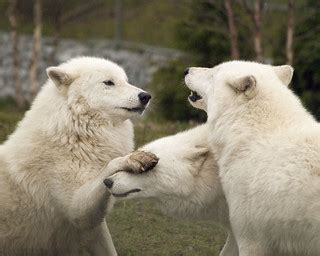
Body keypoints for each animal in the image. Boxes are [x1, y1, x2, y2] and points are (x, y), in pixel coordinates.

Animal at [0, 57, 152, 255]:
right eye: (109, 82)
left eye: (125, 80)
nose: (146, 96)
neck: (74, 137)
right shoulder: (76, 211)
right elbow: (109, 167)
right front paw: (132, 159)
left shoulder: (94, 227)